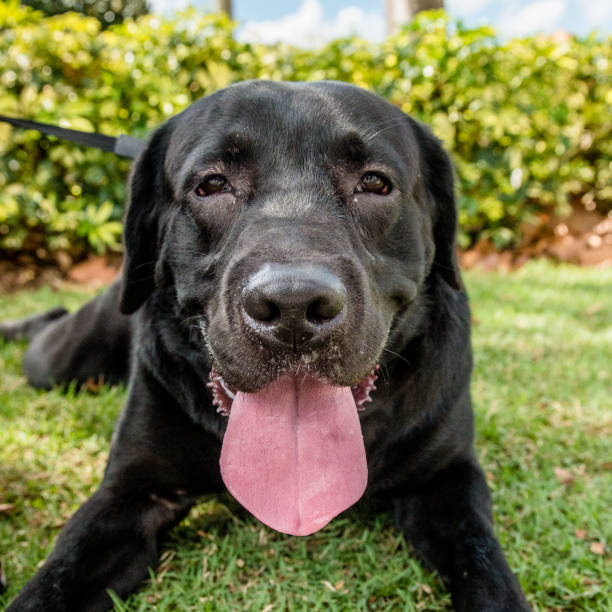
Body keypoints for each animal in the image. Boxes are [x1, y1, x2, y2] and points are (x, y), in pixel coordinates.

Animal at [2, 82, 528, 612]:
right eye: (211, 185)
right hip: (62, 359)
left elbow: (485, 566)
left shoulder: (448, 482)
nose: (293, 305)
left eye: (375, 183)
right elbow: (56, 577)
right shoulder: (130, 493)